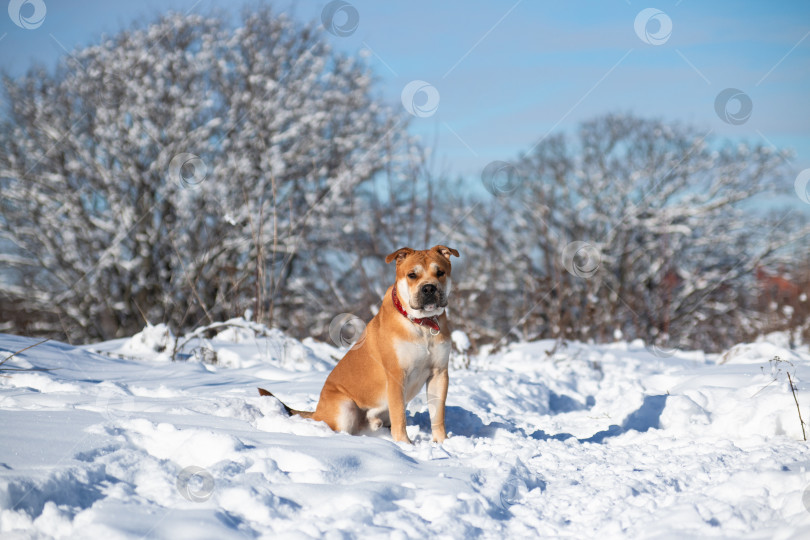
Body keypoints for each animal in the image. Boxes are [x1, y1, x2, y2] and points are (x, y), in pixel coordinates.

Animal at [262, 246, 458, 442]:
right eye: (412, 275)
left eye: (440, 272)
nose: (429, 288)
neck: (422, 325)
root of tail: (317, 413)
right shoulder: (396, 375)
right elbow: (399, 415)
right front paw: (405, 444)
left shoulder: (438, 374)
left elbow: (437, 414)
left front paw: (442, 442)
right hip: (345, 407)